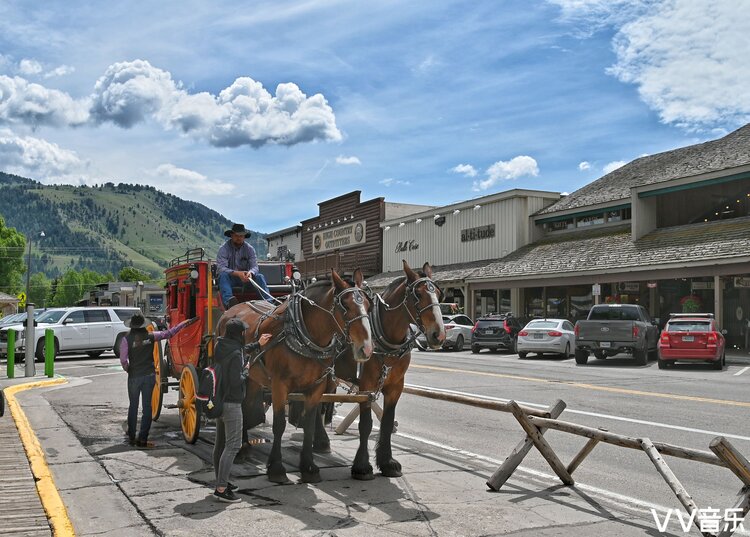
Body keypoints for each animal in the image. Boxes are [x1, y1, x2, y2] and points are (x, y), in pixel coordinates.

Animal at [214, 268, 374, 482]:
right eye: (345, 306)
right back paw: (239, 449)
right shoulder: (279, 385)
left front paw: (308, 467)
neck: (304, 336)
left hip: (253, 377)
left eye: (368, 305)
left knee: (245, 407)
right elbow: (279, 424)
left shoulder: (316, 387)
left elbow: (309, 425)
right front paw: (276, 467)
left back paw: (244, 446)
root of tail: (230, 310)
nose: (366, 348)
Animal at [312, 258, 446, 478]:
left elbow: (387, 422)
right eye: (418, 294)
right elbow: (365, 425)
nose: (439, 335)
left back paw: (320, 441)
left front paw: (387, 462)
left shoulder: (395, 386)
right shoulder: (366, 387)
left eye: (439, 293)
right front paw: (362, 466)